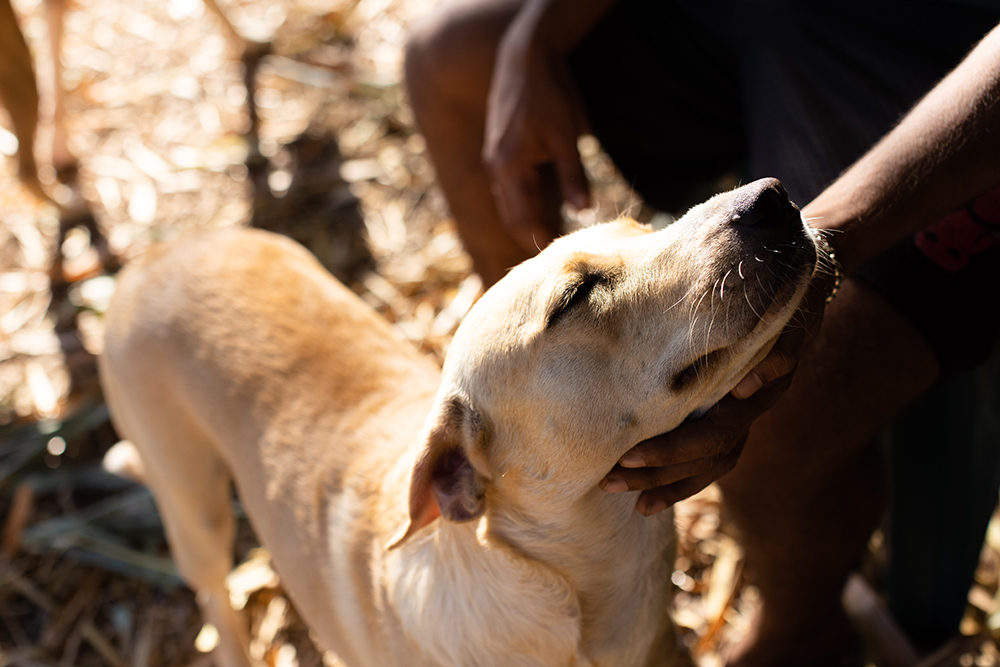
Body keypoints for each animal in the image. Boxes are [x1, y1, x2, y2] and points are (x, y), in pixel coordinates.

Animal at [99, 179, 820, 667]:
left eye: (643, 228)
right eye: (574, 297)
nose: (771, 198)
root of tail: (154, 256)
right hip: (193, 507)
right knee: (214, 596)